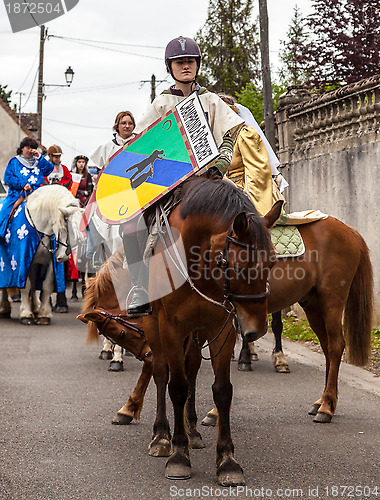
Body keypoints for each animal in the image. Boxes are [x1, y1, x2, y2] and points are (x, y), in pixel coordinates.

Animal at [0, 184, 83, 324]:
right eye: (67, 228)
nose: (64, 256)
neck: (41, 228)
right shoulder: (23, 262)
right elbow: (26, 286)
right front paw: (26, 315)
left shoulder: (49, 263)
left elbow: (46, 286)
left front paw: (43, 314)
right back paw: (4, 308)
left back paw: (34, 307)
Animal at [142, 179, 282, 484]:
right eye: (238, 266)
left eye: (273, 263)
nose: (256, 330)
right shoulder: (170, 326)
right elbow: (176, 386)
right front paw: (178, 455)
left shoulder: (222, 327)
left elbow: (222, 390)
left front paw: (227, 460)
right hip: (154, 325)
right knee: (161, 372)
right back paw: (161, 435)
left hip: (199, 331)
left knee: (192, 368)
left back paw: (193, 431)